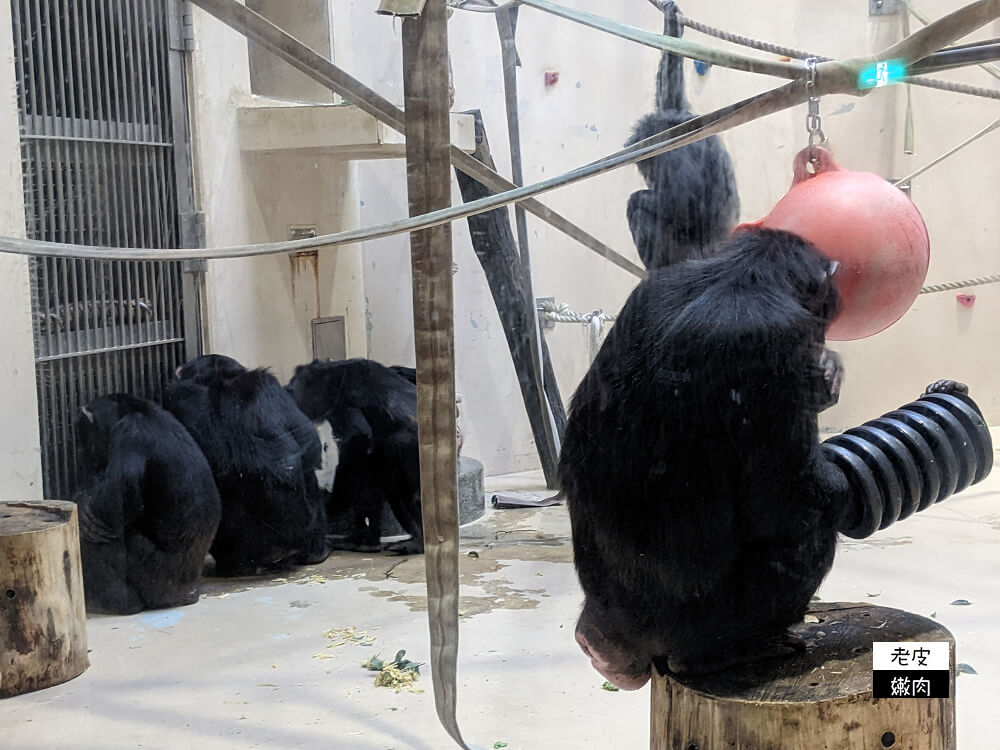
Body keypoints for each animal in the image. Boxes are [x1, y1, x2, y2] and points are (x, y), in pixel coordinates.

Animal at [73, 394, 223, 616]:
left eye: (84, 439)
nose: (82, 453)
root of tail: (188, 595)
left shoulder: (130, 433)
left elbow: (116, 502)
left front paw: (82, 502)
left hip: (155, 578)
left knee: (96, 538)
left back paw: (119, 604)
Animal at [560, 228, 848, 688]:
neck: (743, 273)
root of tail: (613, 636)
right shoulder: (776, 342)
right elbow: (790, 500)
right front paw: (826, 375)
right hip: (710, 623)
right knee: (806, 532)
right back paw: (730, 653)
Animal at [628, 0, 740, 270]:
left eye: (650, 169)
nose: (650, 177)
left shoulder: (674, 156)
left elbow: (683, 203)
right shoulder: (678, 111)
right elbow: (669, 87)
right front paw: (672, 24)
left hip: (685, 255)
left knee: (640, 211)